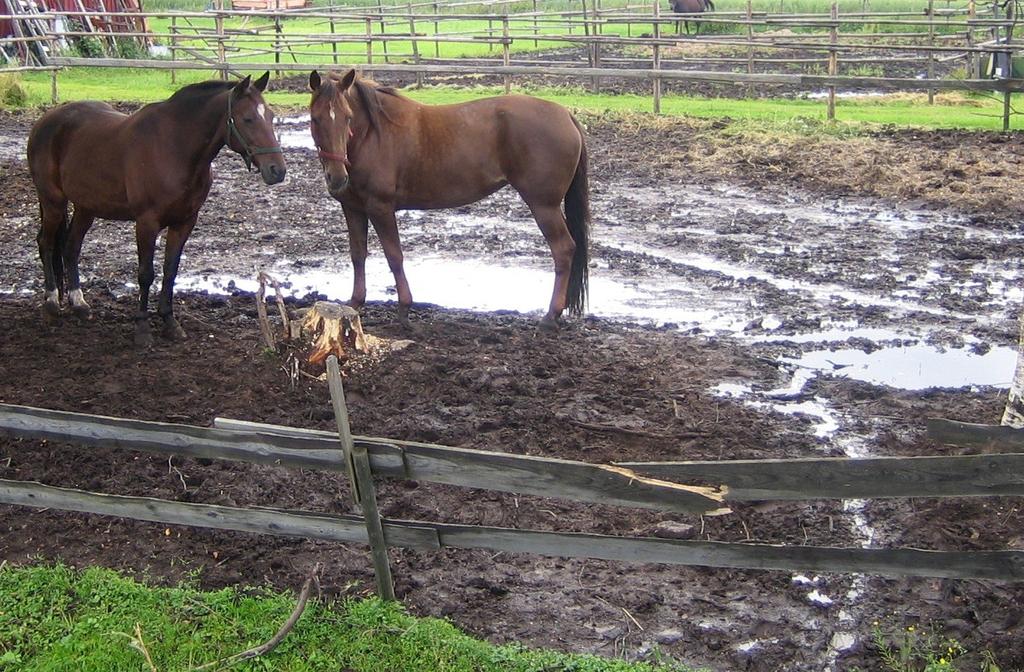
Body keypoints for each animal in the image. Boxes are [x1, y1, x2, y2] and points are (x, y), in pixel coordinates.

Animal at [29, 72, 284, 346]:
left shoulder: (184, 221)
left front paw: (170, 322)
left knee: (71, 247)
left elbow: (170, 271)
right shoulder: (146, 223)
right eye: (248, 119)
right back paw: (51, 303)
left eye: (270, 116)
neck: (174, 147)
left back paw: (79, 304)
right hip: (53, 202)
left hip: (86, 207)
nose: (277, 170)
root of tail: (45, 120)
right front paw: (142, 328)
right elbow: (146, 274)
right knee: (46, 243)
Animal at [305, 69, 593, 329]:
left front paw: (404, 310)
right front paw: (355, 303)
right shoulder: (353, 208)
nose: (337, 177)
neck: (373, 134)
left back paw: (551, 316)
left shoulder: (381, 208)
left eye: (347, 117)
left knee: (563, 249)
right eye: (315, 119)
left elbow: (394, 256)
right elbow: (358, 254)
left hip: (544, 206)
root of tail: (566, 115)